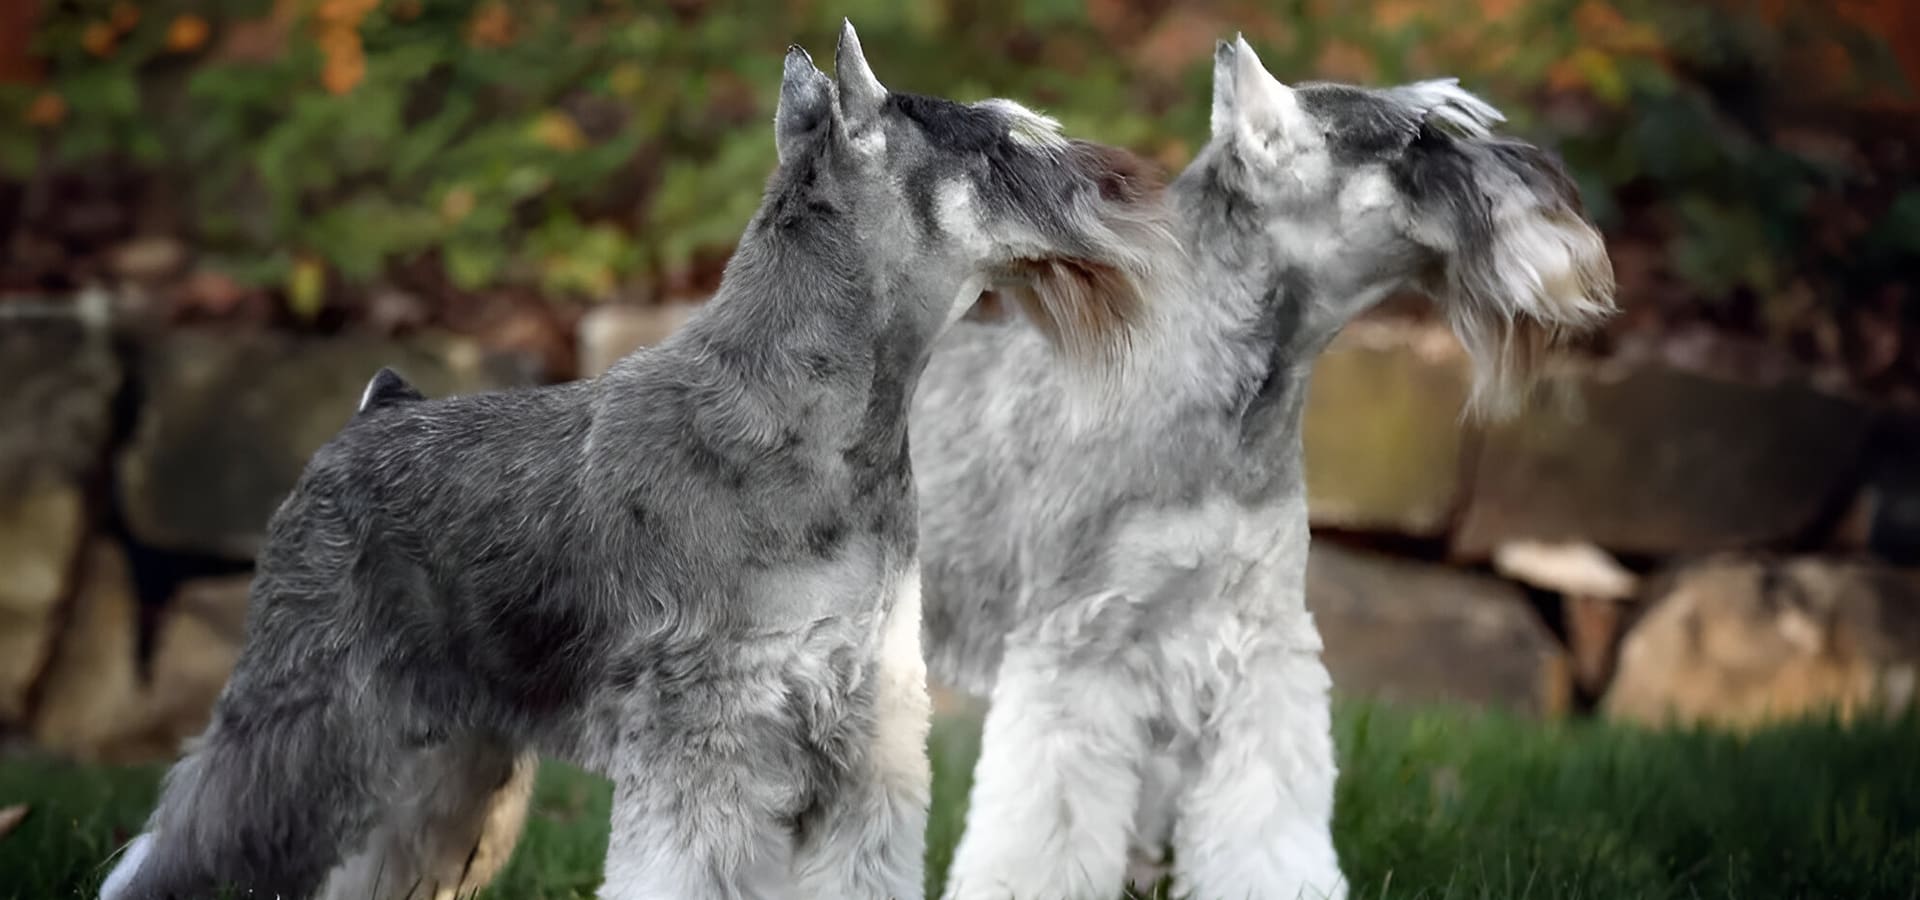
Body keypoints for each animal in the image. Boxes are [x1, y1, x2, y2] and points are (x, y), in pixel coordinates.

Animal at [101, 21, 1167, 898]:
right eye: (1002, 145)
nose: (1128, 182)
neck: (819, 418)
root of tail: (372, 411)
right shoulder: (713, 740)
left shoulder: (868, 743)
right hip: (308, 716)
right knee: (186, 840)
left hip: (449, 753)